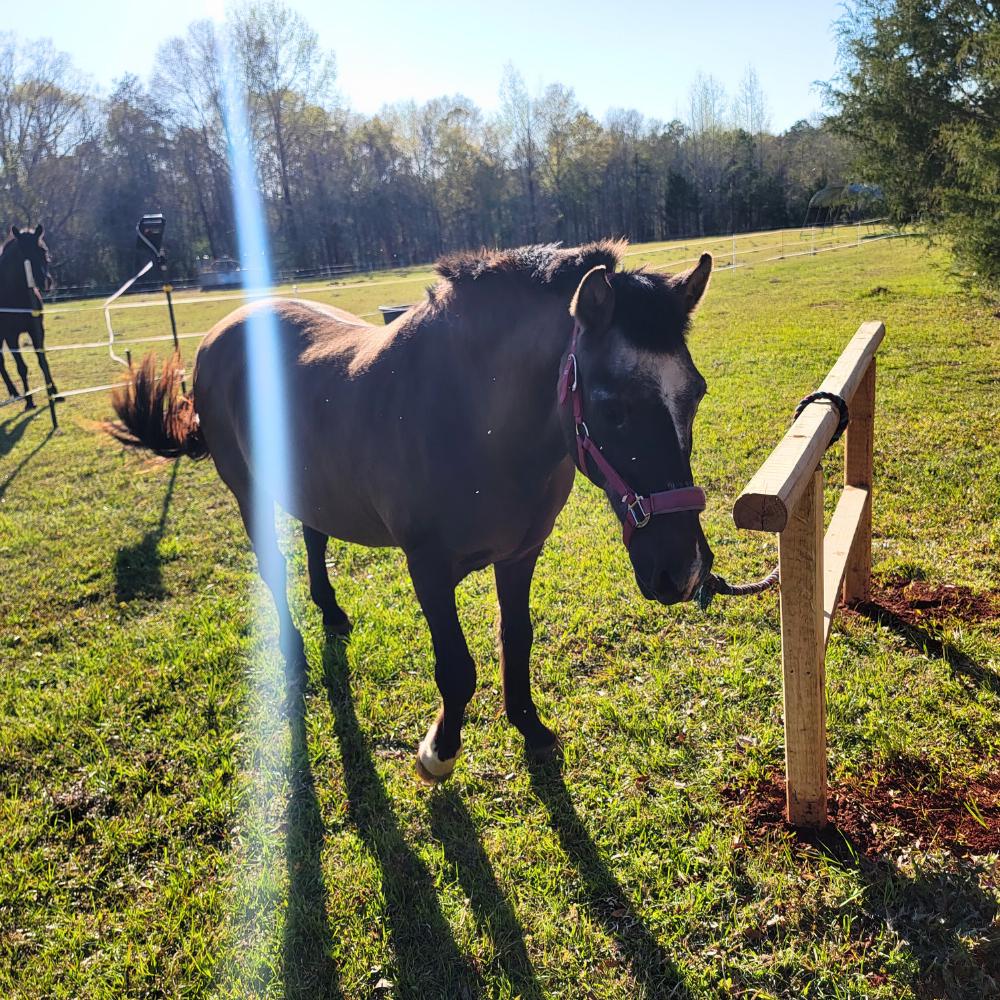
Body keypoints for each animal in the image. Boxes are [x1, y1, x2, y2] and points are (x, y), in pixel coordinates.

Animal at [0, 224, 58, 410]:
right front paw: (30, 401)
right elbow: (21, 367)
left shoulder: (37, 329)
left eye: (42, 250)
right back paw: (16, 392)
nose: (45, 281)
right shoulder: (11, 336)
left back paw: (15, 392)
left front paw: (54, 392)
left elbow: (42, 360)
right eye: (23, 253)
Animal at [109, 240, 715, 782]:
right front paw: (438, 753)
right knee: (274, 566)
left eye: (697, 393)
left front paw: (530, 727)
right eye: (612, 406)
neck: (475, 421)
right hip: (248, 491)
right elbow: (458, 669)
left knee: (315, 539)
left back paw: (332, 614)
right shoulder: (427, 568)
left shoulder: (520, 555)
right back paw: (294, 649)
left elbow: (516, 640)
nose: (683, 572)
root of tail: (222, 332)